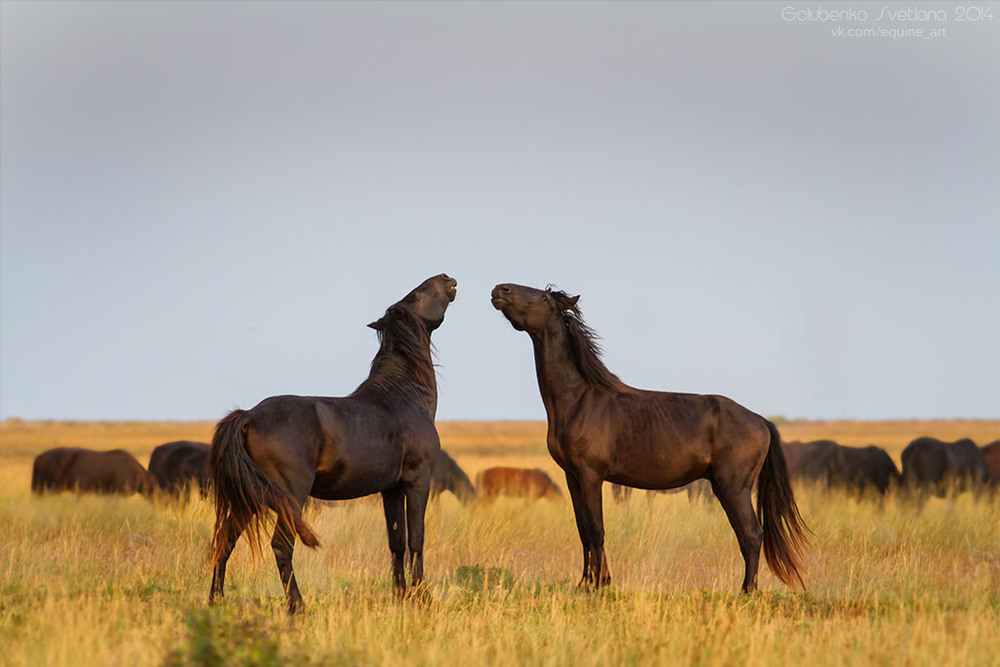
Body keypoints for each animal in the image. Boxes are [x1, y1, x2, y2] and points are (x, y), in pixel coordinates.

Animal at [215, 274, 460, 612]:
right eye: (416, 295)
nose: (447, 278)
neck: (403, 398)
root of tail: (249, 415)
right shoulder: (418, 481)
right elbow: (416, 539)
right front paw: (421, 597)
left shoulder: (391, 489)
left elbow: (396, 541)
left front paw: (399, 595)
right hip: (290, 498)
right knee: (281, 545)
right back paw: (297, 605)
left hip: (249, 499)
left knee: (225, 540)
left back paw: (215, 599)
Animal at [492, 284, 812, 592]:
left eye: (544, 298)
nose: (500, 289)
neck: (580, 400)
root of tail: (761, 420)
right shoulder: (572, 477)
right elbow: (583, 531)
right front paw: (585, 583)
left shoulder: (591, 475)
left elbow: (596, 530)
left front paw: (599, 584)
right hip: (724, 488)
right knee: (747, 536)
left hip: (734, 487)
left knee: (752, 534)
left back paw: (747, 591)